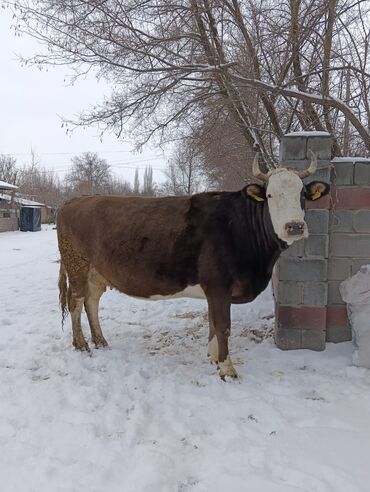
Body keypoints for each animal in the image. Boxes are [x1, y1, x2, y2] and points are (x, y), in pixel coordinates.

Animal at [57, 152, 330, 378]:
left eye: (302, 195)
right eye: (270, 195)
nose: (294, 227)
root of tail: (75, 200)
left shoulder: (214, 290)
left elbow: (212, 324)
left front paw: (213, 358)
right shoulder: (219, 285)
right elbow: (222, 326)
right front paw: (227, 369)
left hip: (96, 273)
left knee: (92, 302)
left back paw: (100, 341)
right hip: (77, 265)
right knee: (76, 303)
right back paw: (81, 344)